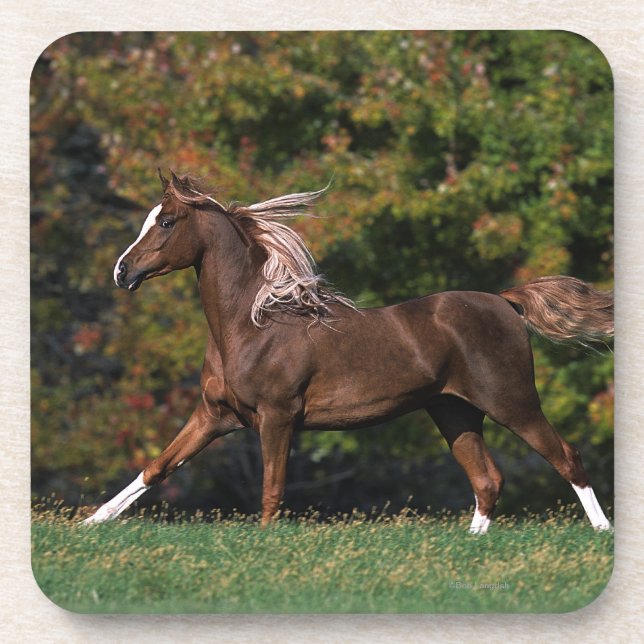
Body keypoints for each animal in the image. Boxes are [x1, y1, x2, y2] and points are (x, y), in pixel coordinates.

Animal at [83, 171, 613, 534]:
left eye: (166, 221)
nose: (122, 271)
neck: (252, 326)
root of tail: (505, 301)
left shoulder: (277, 418)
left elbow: (272, 490)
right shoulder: (215, 415)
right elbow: (157, 466)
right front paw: (90, 524)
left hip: (512, 402)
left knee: (566, 457)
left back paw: (601, 532)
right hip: (453, 411)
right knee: (487, 481)